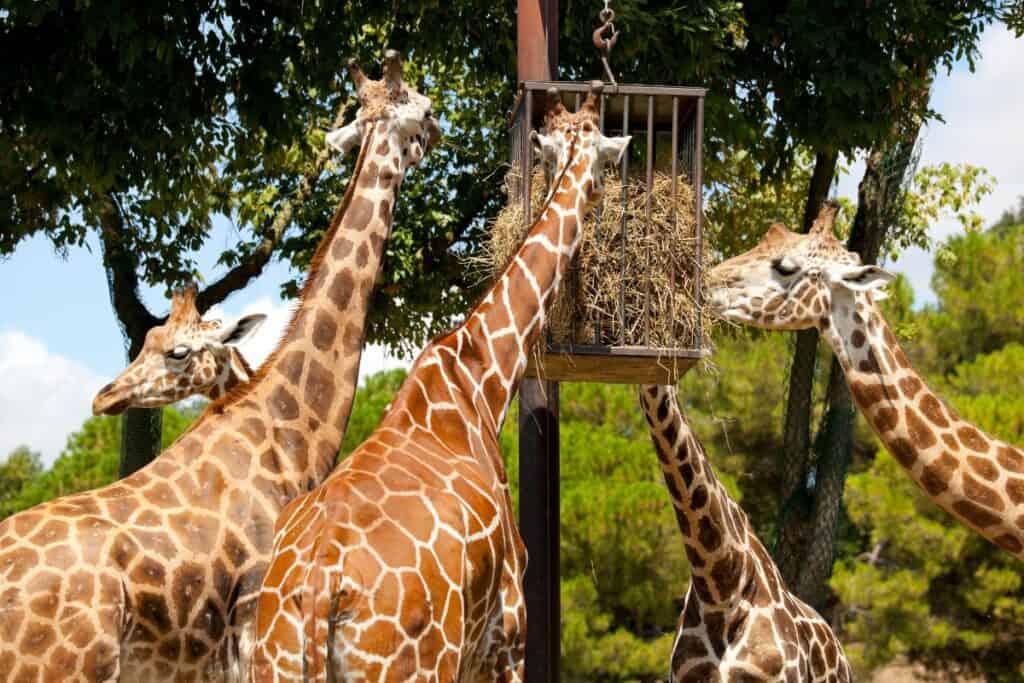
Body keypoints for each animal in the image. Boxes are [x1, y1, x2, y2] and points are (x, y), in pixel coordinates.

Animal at [251, 82, 626, 679]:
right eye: (605, 165)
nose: (602, 201)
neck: (480, 376)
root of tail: (320, 584)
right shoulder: (507, 635)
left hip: (271, 660)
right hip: (419, 665)